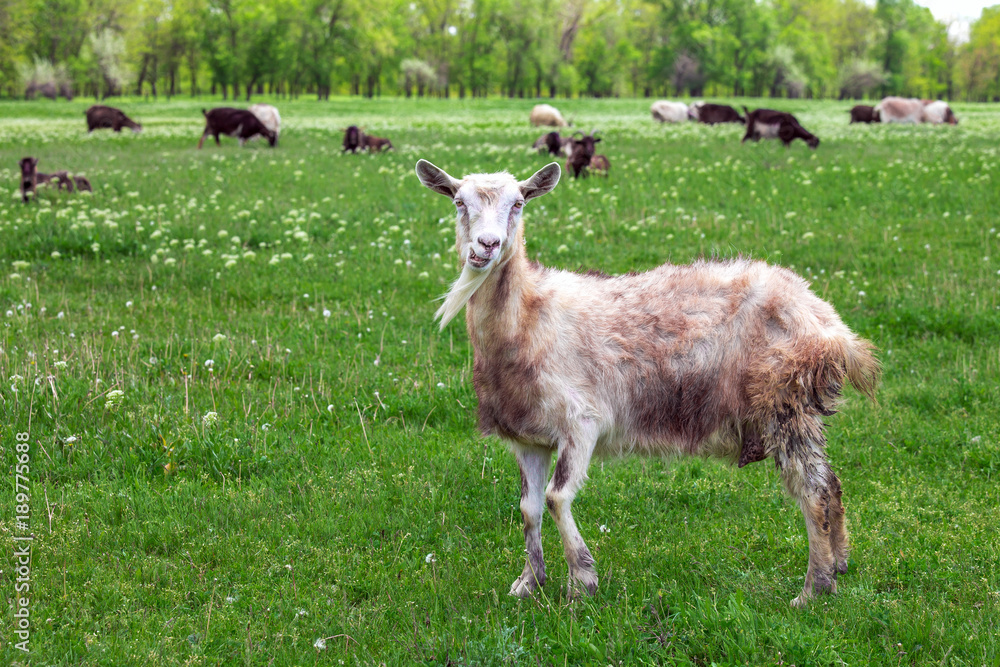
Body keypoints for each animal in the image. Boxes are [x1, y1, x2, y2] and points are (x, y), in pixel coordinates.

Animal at [414, 158, 880, 607]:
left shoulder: (581, 422)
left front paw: (582, 582)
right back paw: (839, 564)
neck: (531, 317)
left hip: (783, 400)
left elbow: (556, 497)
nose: (486, 245)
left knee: (812, 490)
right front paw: (529, 582)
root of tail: (828, 321)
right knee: (830, 482)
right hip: (799, 408)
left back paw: (813, 588)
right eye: (458, 202)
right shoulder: (528, 437)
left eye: (518, 203)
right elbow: (529, 508)